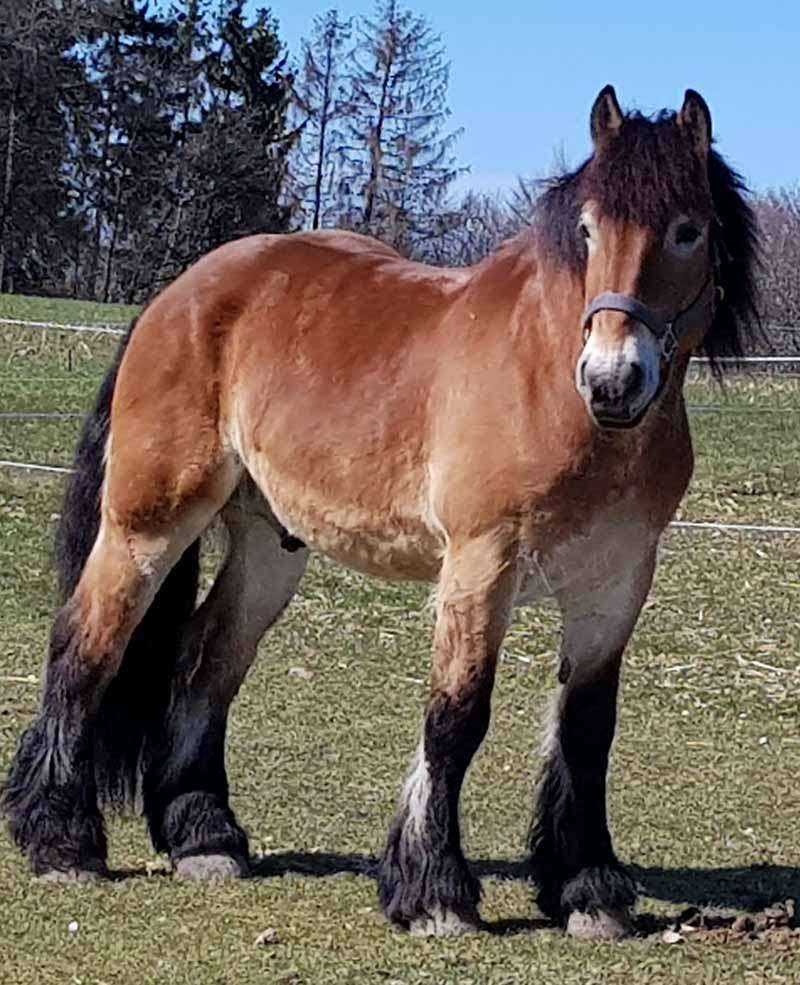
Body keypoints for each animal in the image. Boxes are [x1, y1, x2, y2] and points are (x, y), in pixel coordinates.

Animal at [3, 84, 760, 936]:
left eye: (688, 229)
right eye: (590, 229)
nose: (612, 380)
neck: (554, 392)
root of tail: (178, 295)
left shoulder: (615, 587)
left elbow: (586, 730)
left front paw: (589, 889)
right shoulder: (481, 565)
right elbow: (456, 717)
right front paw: (434, 891)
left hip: (269, 547)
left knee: (206, 661)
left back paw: (206, 839)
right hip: (148, 522)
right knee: (86, 645)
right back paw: (63, 843)